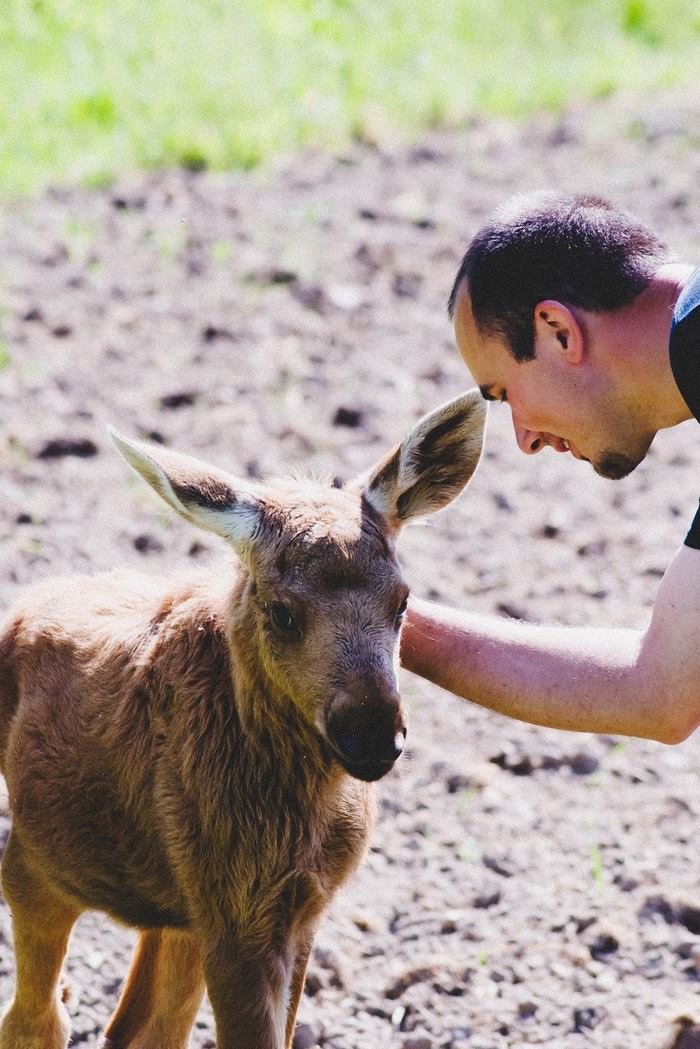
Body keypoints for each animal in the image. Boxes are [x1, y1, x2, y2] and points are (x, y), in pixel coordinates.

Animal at [0, 389, 486, 1049]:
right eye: (282, 612)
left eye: (403, 601)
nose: (372, 735)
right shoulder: (240, 917)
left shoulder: (292, 910)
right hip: (38, 862)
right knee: (39, 1017)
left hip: (177, 906)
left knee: (135, 1025)